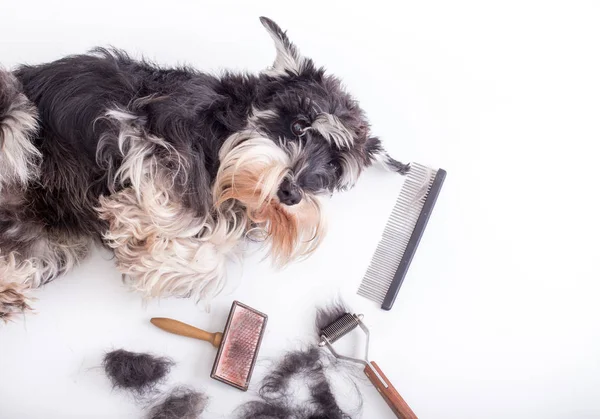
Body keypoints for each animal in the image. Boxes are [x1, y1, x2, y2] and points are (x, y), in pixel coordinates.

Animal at [0, 15, 408, 318]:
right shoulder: (147, 129)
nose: (290, 193)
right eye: (299, 125)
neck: (226, 130)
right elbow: (185, 204)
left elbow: (213, 258)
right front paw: (135, 220)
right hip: (15, 106)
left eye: (334, 168)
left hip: (51, 245)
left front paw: (150, 258)